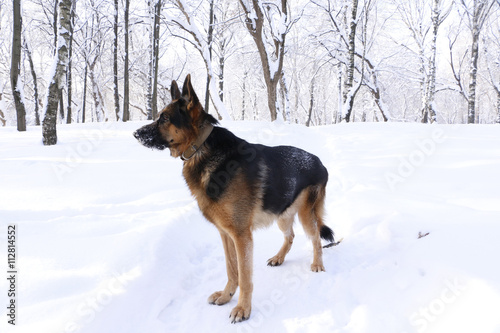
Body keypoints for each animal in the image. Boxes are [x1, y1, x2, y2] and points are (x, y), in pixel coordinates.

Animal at [135, 75, 334, 322]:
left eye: (164, 118)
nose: (136, 133)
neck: (201, 148)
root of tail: (320, 162)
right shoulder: (225, 233)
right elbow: (232, 270)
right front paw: (226, 295)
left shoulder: (241, 236)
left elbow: (245, 276)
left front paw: (243, 309)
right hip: (281, 213)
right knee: (290, 236)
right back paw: (279, 258)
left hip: (306, 214)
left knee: (315, 239)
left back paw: (317, 264)